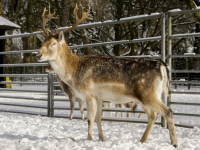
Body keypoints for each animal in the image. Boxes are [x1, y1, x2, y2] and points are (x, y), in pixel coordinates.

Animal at [36, 3, 177, 148]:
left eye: (53, 43)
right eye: (42, 43)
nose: (38, 55)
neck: (74, 72)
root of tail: (162, 65)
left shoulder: (89, 94)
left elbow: (90, 119)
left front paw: (89, 139)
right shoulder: (99, 97)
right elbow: (99, 118)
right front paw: (101, 139)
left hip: (148, 94)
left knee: (168, 111)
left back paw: (174, 143)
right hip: (145, 97)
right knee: (153, 115)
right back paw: (142, 141)